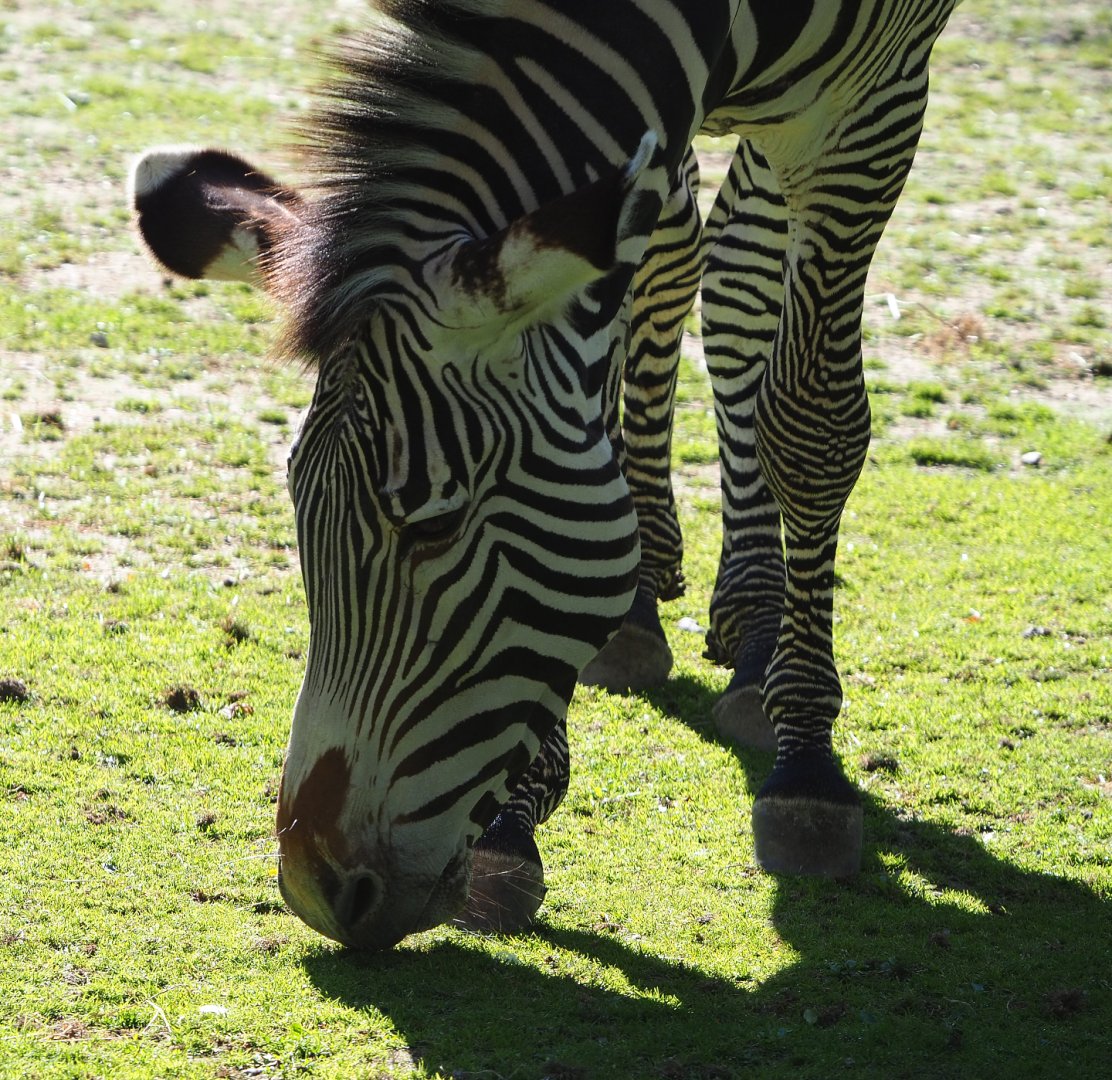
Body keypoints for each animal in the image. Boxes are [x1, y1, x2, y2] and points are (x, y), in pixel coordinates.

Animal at [130, 0, 958, 949]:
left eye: (432, 525)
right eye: (294, 512)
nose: (315, 885)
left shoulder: (874, 103)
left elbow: (812, 420)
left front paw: (809, 766)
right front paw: (515, 818)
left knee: (741, 273)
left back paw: (757, 641)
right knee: (681, 260)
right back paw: (648, 612)